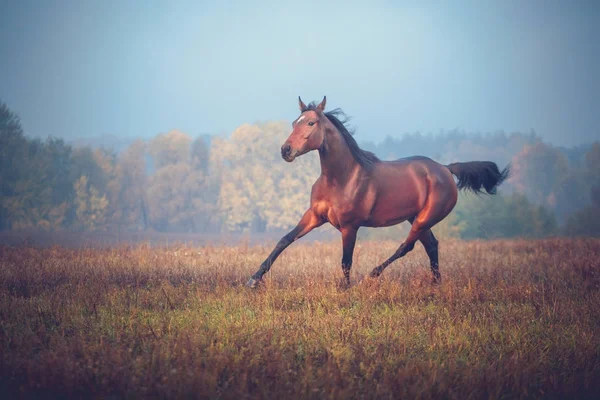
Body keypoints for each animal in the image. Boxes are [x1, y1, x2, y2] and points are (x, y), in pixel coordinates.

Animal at [246, 95, 508, 288]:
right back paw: (436, 283)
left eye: (311, 123)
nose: (286, 150)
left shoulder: (350, 226)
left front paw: (346, 287)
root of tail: (445, 168)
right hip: (417, 217)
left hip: (425, 218)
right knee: (431, 245)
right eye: (294, 123)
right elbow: (284, 240)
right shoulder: (314, 216)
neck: (341, 178)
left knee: (407, 246)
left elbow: (346, 260)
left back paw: (371, 276)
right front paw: (253, 279)